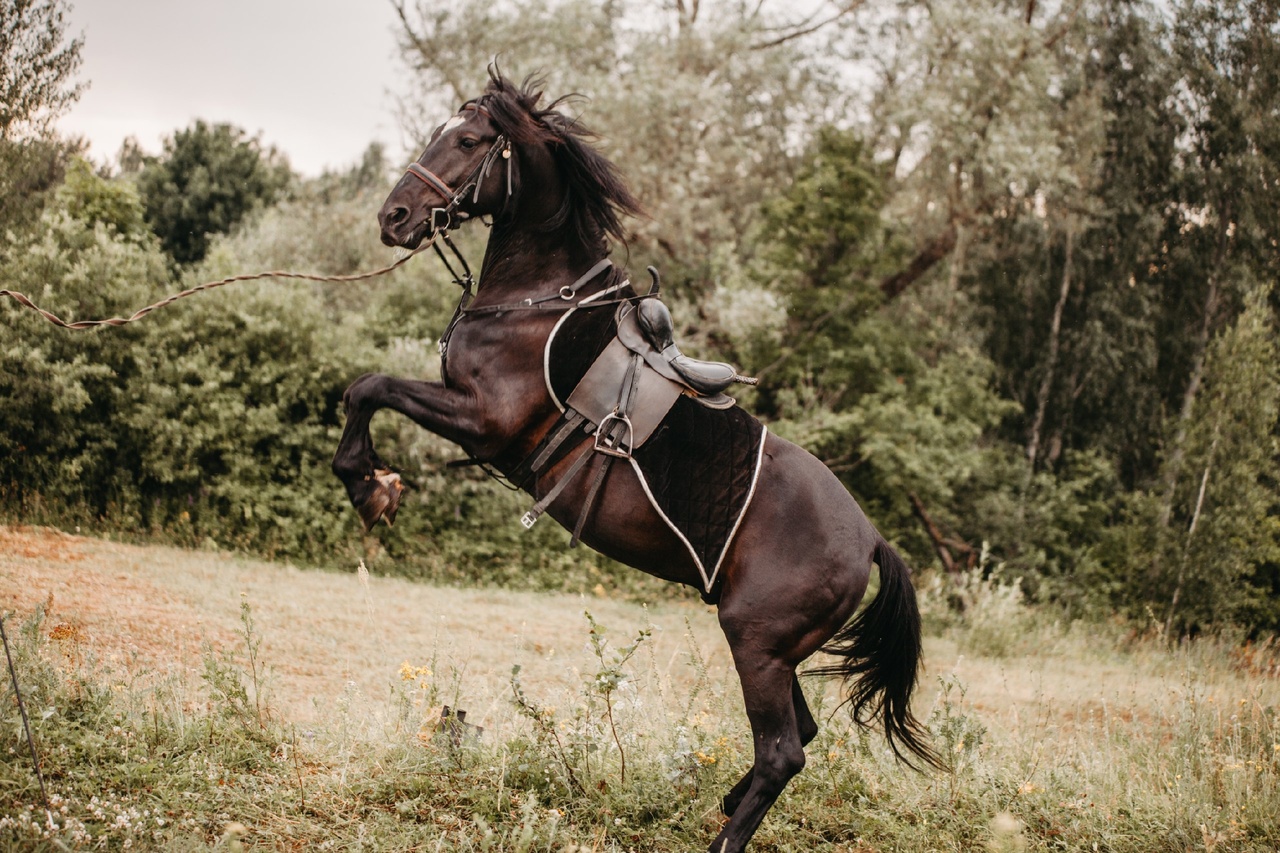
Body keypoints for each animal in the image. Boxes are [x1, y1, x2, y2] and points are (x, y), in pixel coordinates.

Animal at [332, 73, 942, 850]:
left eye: (468, 140)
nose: (395, 216)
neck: (537, 302)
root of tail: (869, 539)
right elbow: (367, 386)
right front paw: (372, 480)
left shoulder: (482, 422)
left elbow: (371, 386)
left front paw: (368, 483)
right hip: (779, 652)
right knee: (795, 737)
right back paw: (724, 799)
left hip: (757, 644)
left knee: (783, 750)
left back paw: (724, 834)